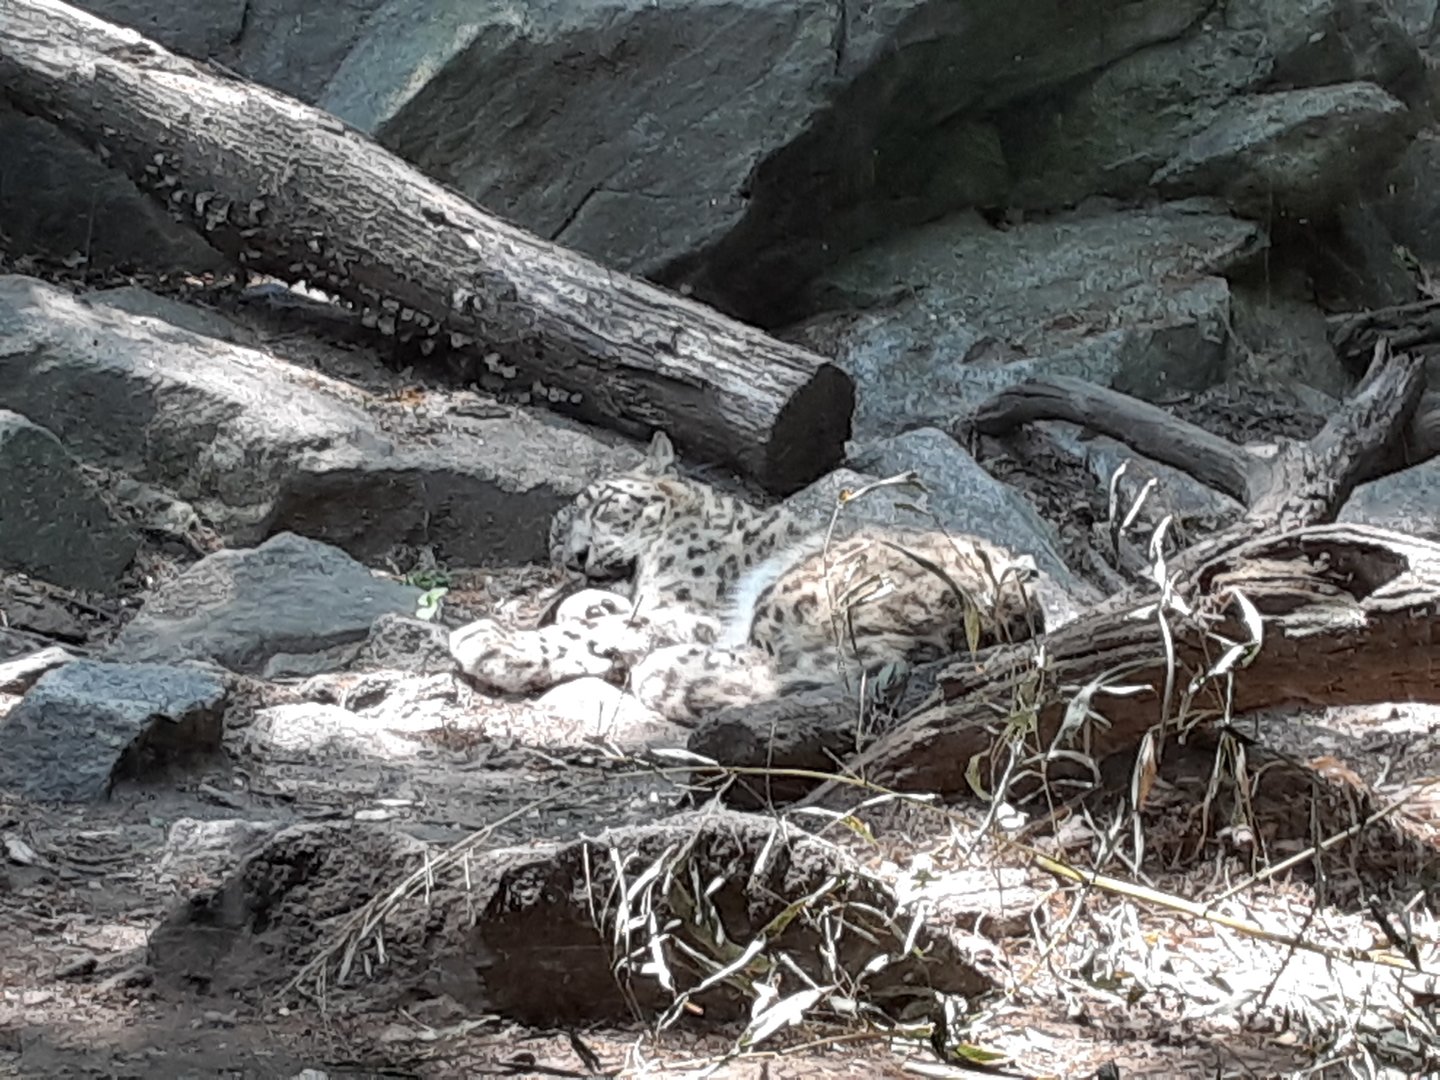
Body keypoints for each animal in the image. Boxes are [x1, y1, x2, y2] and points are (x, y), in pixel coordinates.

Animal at [450, 431, 1046, 725]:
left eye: (604, 505)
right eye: (556, 549)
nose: (577, 556)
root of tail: (1007, 611)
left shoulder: (687, 607)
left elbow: (602, 629)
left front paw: (497, 643)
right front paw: (591, 603)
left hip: (802, 588)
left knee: (788, 671)